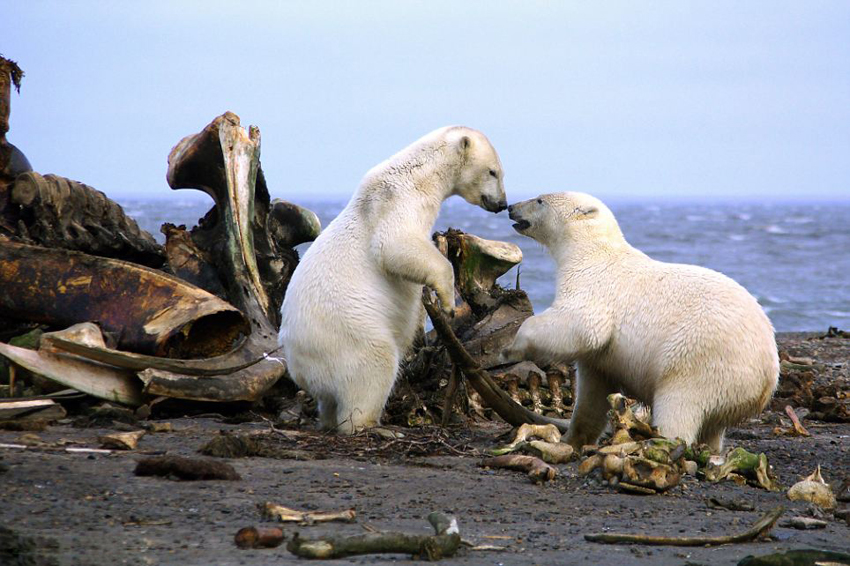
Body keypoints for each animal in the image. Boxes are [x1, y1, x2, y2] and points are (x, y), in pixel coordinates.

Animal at [278, 125, 504, 434]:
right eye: (493, 171)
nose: (502, 203)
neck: (421, 173)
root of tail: (298, 367)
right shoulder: (398, 201)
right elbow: (394, 246)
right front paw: (447, 303)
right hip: (347, 335)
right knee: (374, 365)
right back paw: (374, 425)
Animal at [504, 193, 776, 454]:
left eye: (540, 199)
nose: (511, 207)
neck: (592, 252)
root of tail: (768, 376)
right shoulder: (602, 361)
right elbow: (593, 392)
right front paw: (572, 439)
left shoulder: (594, 285)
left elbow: (582, 325)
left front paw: (512, 346)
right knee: (712, 427)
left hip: (702, 361)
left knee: (680, 405)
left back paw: (662, 443)